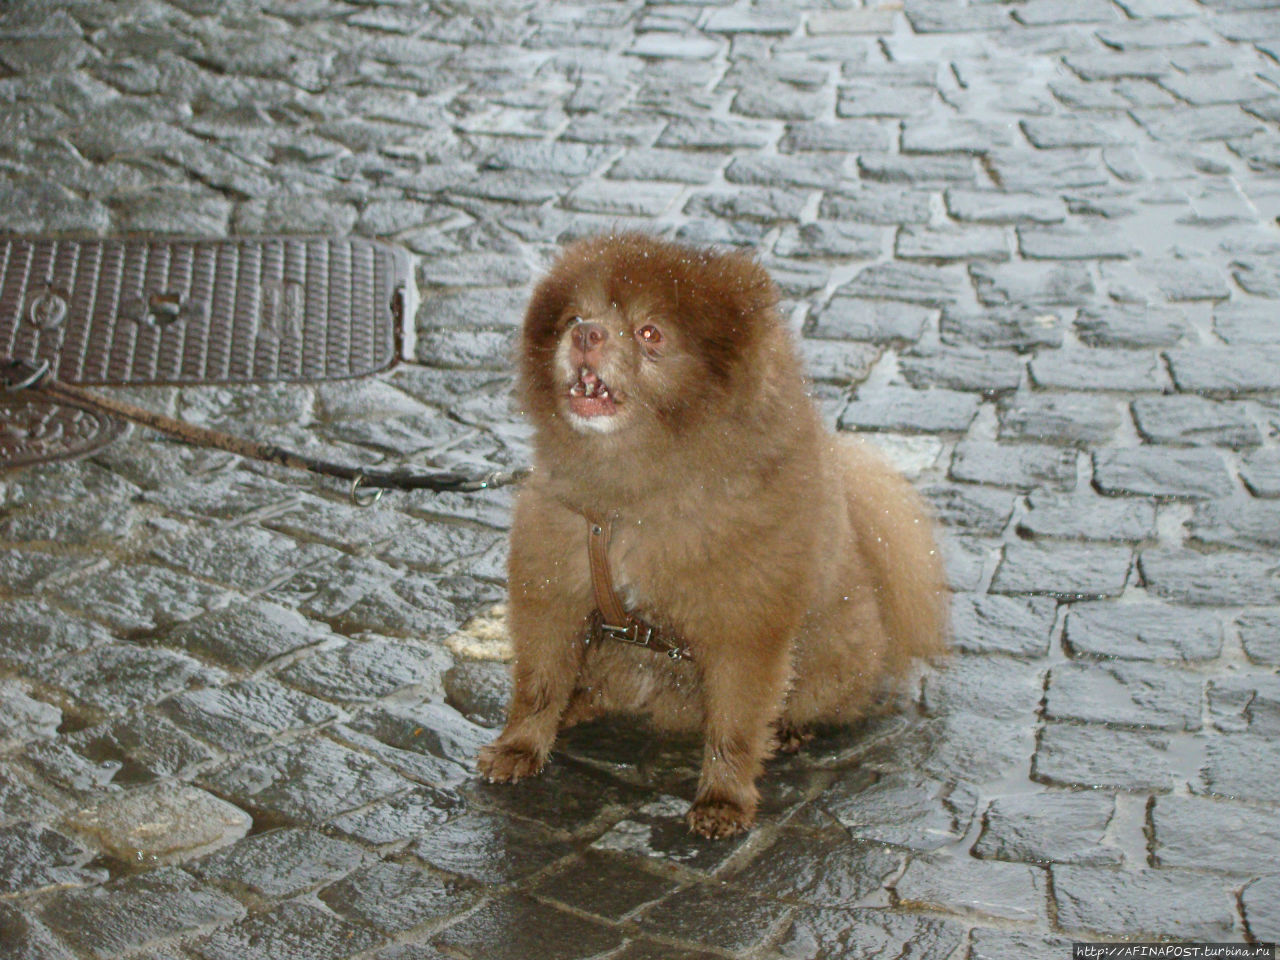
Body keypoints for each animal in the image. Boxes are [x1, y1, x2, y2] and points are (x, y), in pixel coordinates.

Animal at [476, 235, 947, 839]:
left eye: (650, 333)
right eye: (574, 318)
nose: (586, 335)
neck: (635, 501)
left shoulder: (745, 630)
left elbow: (735, 727)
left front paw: (723, 800)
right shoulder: (552, 587)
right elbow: (536, 684)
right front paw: (519, 749)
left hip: (834, 658)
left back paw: (791, 730)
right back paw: (578, 706)